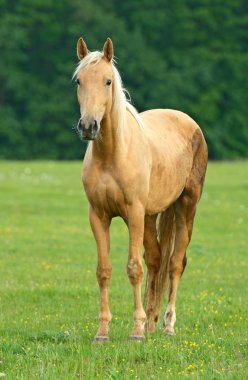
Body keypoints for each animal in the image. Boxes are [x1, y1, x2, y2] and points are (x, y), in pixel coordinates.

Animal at [72, 37, 208, 342]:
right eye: (78, 81)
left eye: (108, 81)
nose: (88, 126)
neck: (112, 155)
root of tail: (191, 124)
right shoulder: (98, 216)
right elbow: (104, 270)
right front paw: (103, 332)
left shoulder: (133, 214)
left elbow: (134, 268)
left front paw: (136, 332)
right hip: (150, 216)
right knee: (156, 261)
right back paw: (152, 323)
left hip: (186, 206)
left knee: (175, 263)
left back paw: (167, 325)